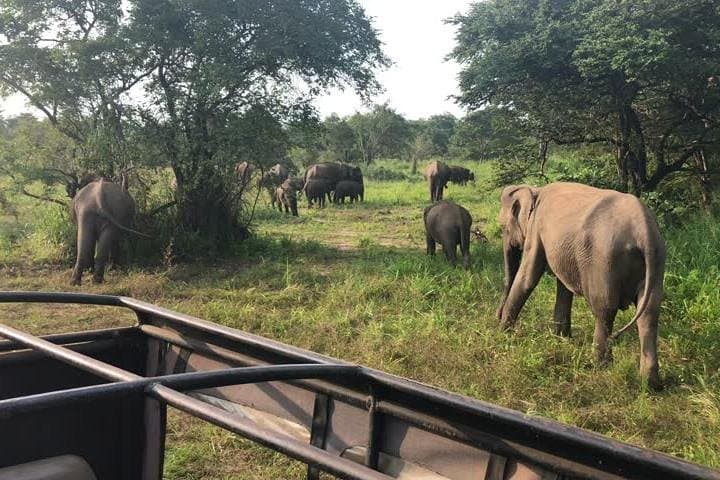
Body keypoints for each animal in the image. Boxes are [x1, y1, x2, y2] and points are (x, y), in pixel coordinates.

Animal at [497, 182, 666, 388]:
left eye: (503, 228)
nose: (496, 317)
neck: (535, 190)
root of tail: (644, 232)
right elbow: (563, 287)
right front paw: (561, 338)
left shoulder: (536, 230)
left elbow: (528, 277)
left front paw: (503, 334)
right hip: (657, 261)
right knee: (649, 313)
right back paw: (650, 383)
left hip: (604, 262)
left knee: (604, 311)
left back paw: (600, 366)